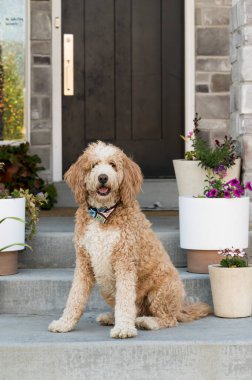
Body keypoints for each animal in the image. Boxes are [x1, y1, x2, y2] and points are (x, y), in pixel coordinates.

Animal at [48, 142, 210, 338]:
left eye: (113, 165)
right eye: (93, 165)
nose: (103, 177)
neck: (103, 214)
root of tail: (180, 308)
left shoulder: (124, 260)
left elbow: (125, 298)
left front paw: (124, 329)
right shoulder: (84, 261)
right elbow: (75, 296)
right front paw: (64, 323)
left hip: (161, 291)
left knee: (168, 319)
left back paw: (146, 322)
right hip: (107, 288)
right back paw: (111, 317)